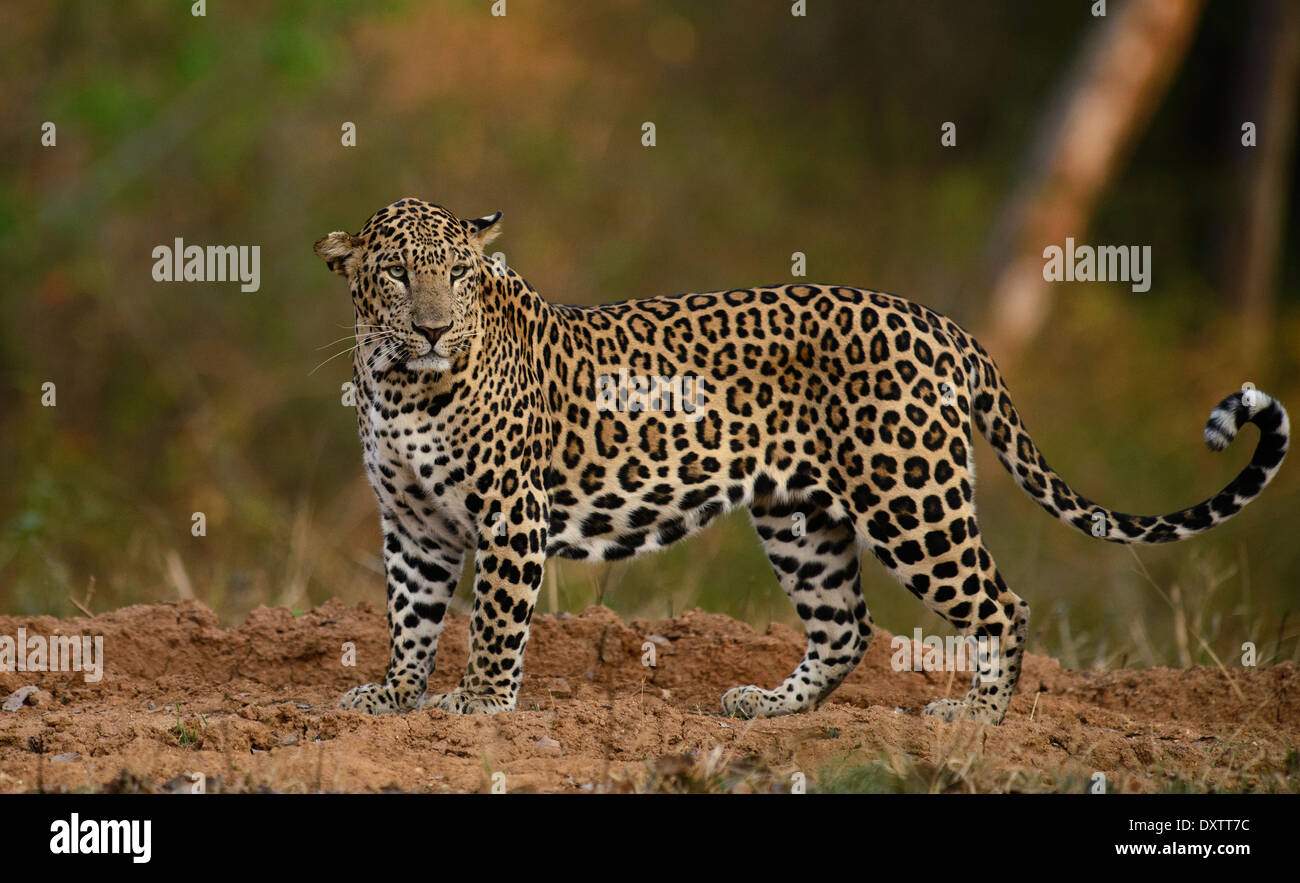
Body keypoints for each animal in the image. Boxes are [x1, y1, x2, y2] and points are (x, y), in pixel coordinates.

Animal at [315, 197, 1289, 724]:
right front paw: (392, 695)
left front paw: (477, 703)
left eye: (458, 275)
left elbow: (494, 620)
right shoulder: (412, 524)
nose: (433, 327)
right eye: (397, 274)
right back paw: (772, 704)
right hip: (800, 515)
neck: (401, 385)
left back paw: (976, 714)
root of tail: (946, 325)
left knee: (999, 602)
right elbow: (409, 617)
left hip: (911, 499)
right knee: (846, 625)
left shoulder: (511, 513)